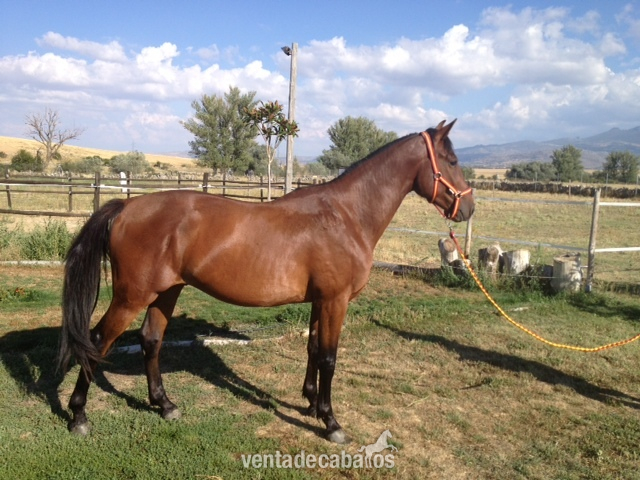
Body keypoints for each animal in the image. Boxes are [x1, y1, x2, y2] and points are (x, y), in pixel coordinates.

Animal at [58, 119, 474, 443]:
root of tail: (126, 206)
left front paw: (310, 403)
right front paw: (331, 422)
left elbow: (312, 349)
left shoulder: (320, 301)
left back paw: (165, 405)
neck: (345, 215)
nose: (468, 208)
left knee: (150, 341)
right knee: (98, 341)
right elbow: (329, 357)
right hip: (133, 296)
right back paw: (78, 416)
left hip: (166, 292)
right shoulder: (335, 300)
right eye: (452, 161)